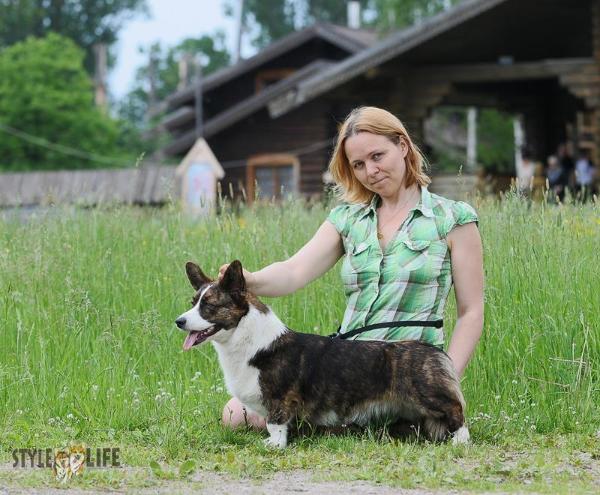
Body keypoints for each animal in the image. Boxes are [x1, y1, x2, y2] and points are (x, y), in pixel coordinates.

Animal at [176, 262, 472, 448]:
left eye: (209, 305)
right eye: (192, 302)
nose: (179, 321)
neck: (248, 341)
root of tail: (434, 351)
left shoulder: (280, 399)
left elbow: (275, 423)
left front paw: (274, 445)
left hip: (430, 396)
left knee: (456, 411)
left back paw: (461, 441)